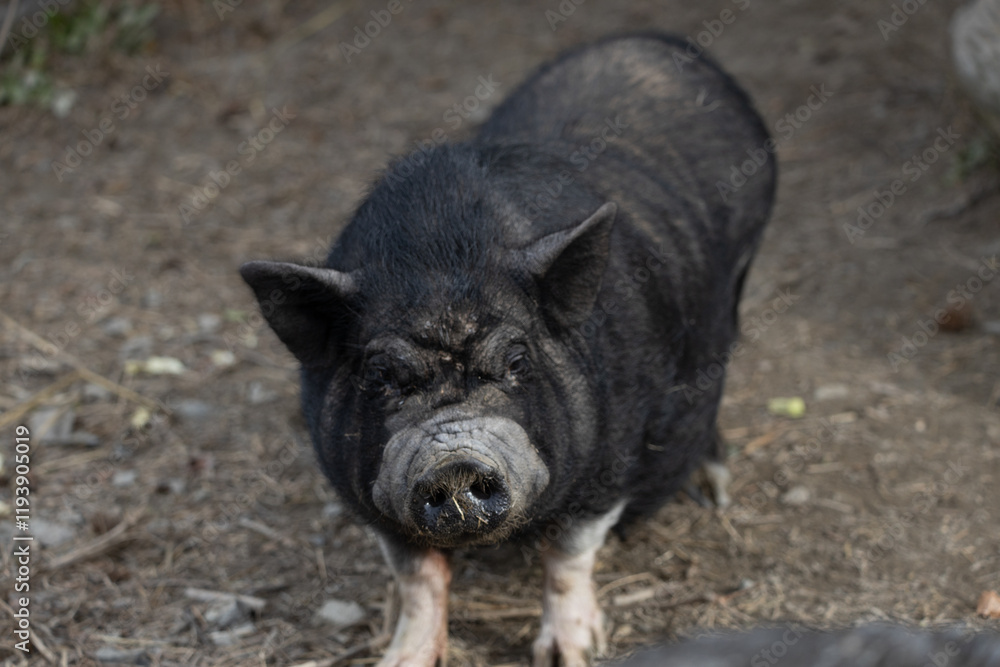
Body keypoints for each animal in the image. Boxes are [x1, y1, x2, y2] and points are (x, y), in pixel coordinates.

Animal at [240, 32, 775, 666]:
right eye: (381, 376)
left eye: (518, 362)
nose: (455, 463)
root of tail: (662, 44)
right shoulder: (365, 491)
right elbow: (417, 578)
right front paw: (401, 658)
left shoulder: (609, 463)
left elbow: (568, 557)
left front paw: (569, 655)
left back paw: (713, 489)